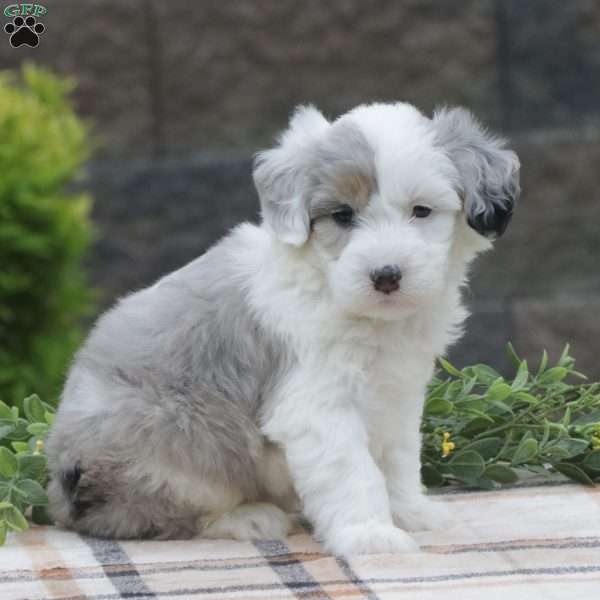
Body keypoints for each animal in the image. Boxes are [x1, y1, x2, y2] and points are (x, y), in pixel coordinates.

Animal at [47, 102, 516, 552]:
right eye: (342, 215)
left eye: (421, 211)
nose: (386, 275)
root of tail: (60, 491)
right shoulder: (318, 406)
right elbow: (354, 471)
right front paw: (369, 535)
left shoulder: (398, 395)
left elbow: (397, 459)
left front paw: (410, 512)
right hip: (179, 439)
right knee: (156, 515)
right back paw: (251, 518)